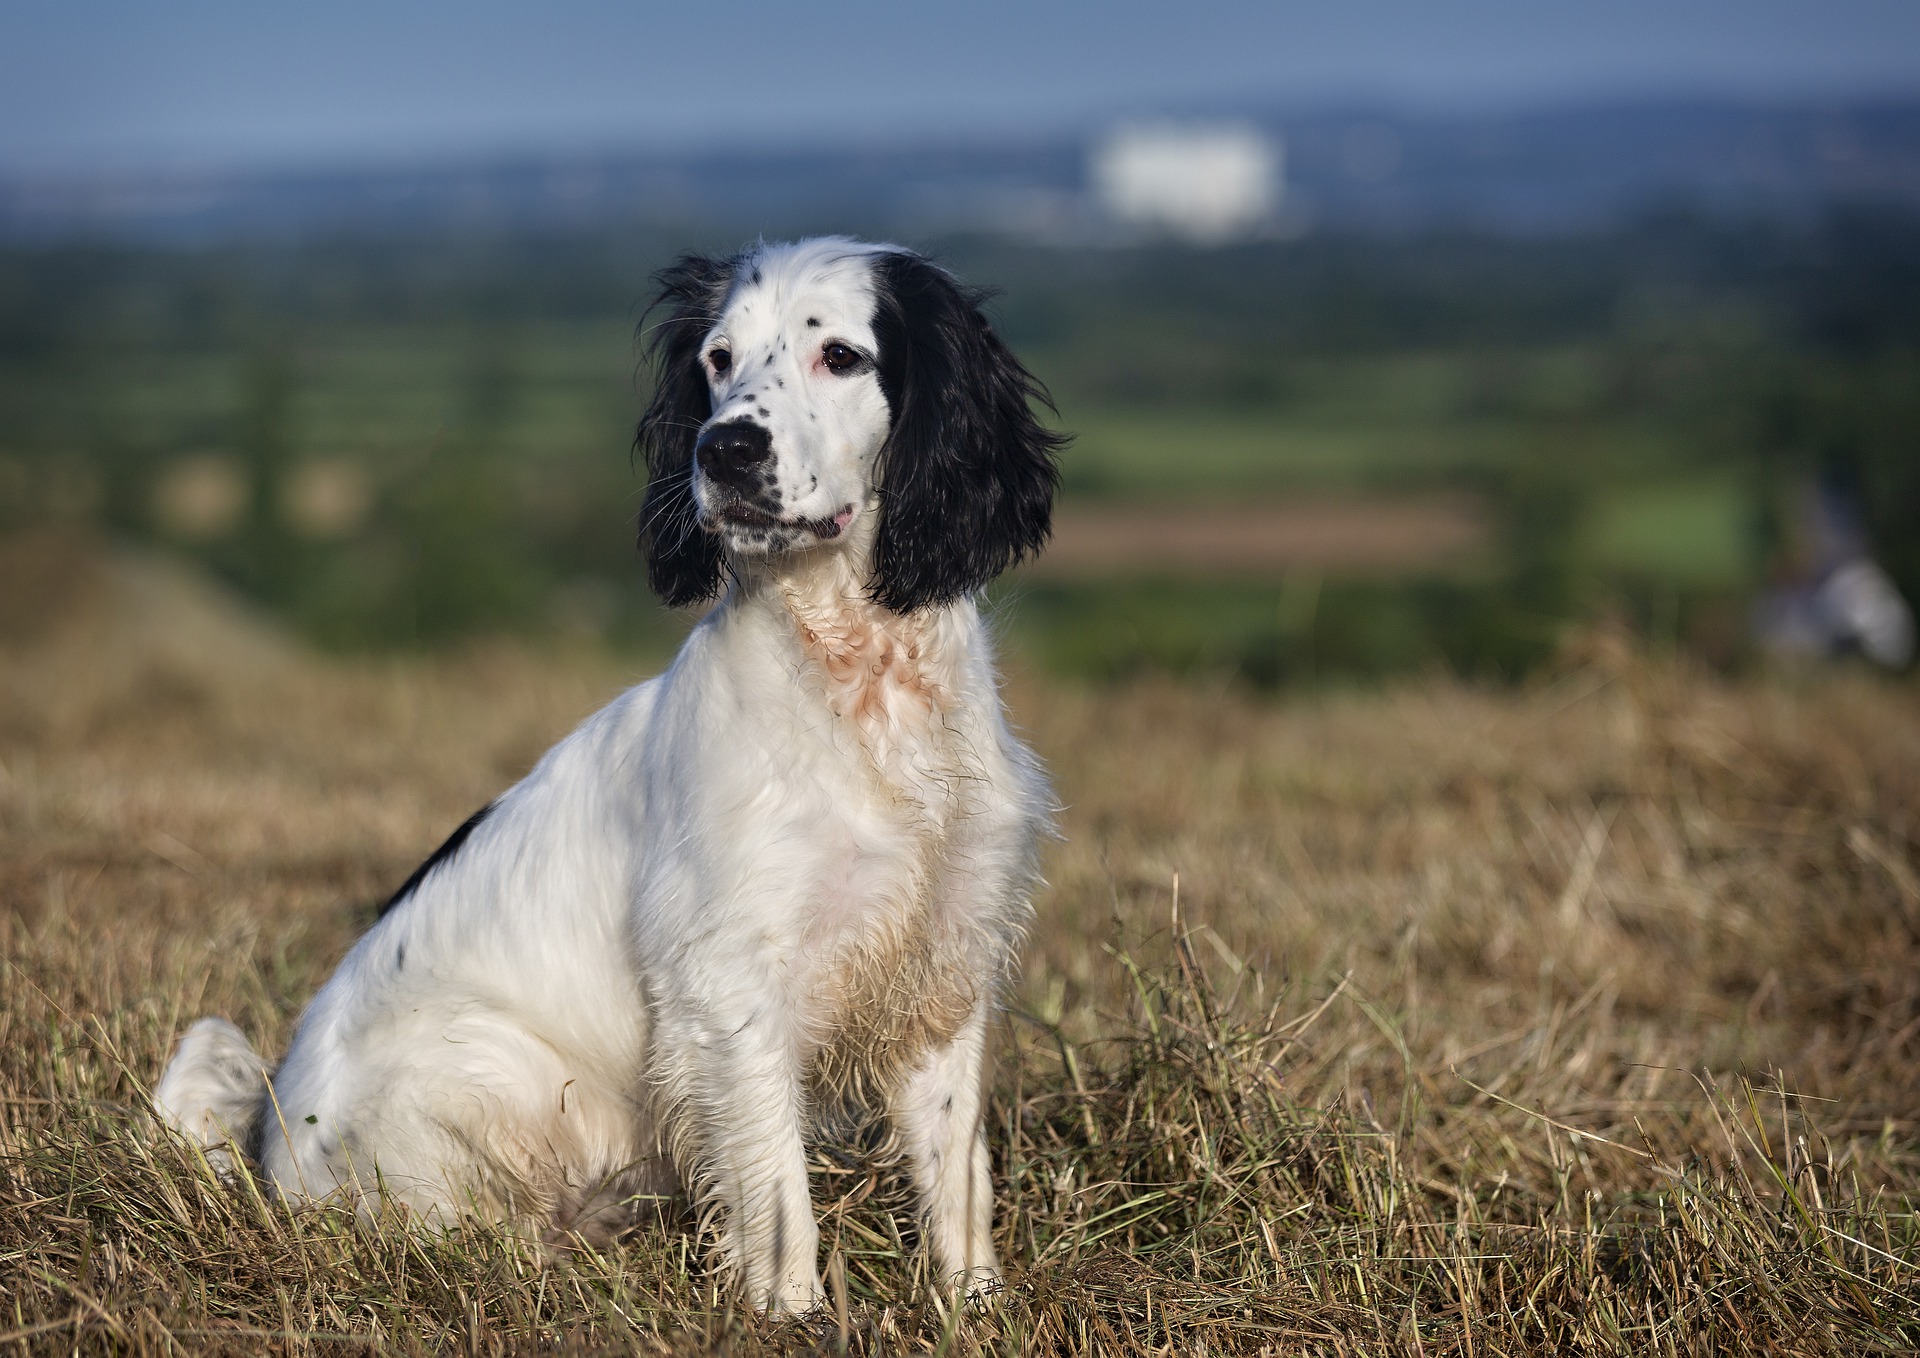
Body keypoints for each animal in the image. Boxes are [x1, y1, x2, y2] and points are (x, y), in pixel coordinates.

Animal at [153, 236, 1067, 1313]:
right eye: (718, 360)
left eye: (841, 355)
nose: (723, 451)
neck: (859, 681)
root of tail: (271, 1145)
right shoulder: (731, 984)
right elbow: (777, 1195)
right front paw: (792, 1315)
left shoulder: (944, 966)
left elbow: (957, 1177)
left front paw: (974, 1308)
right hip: (486, 1068)